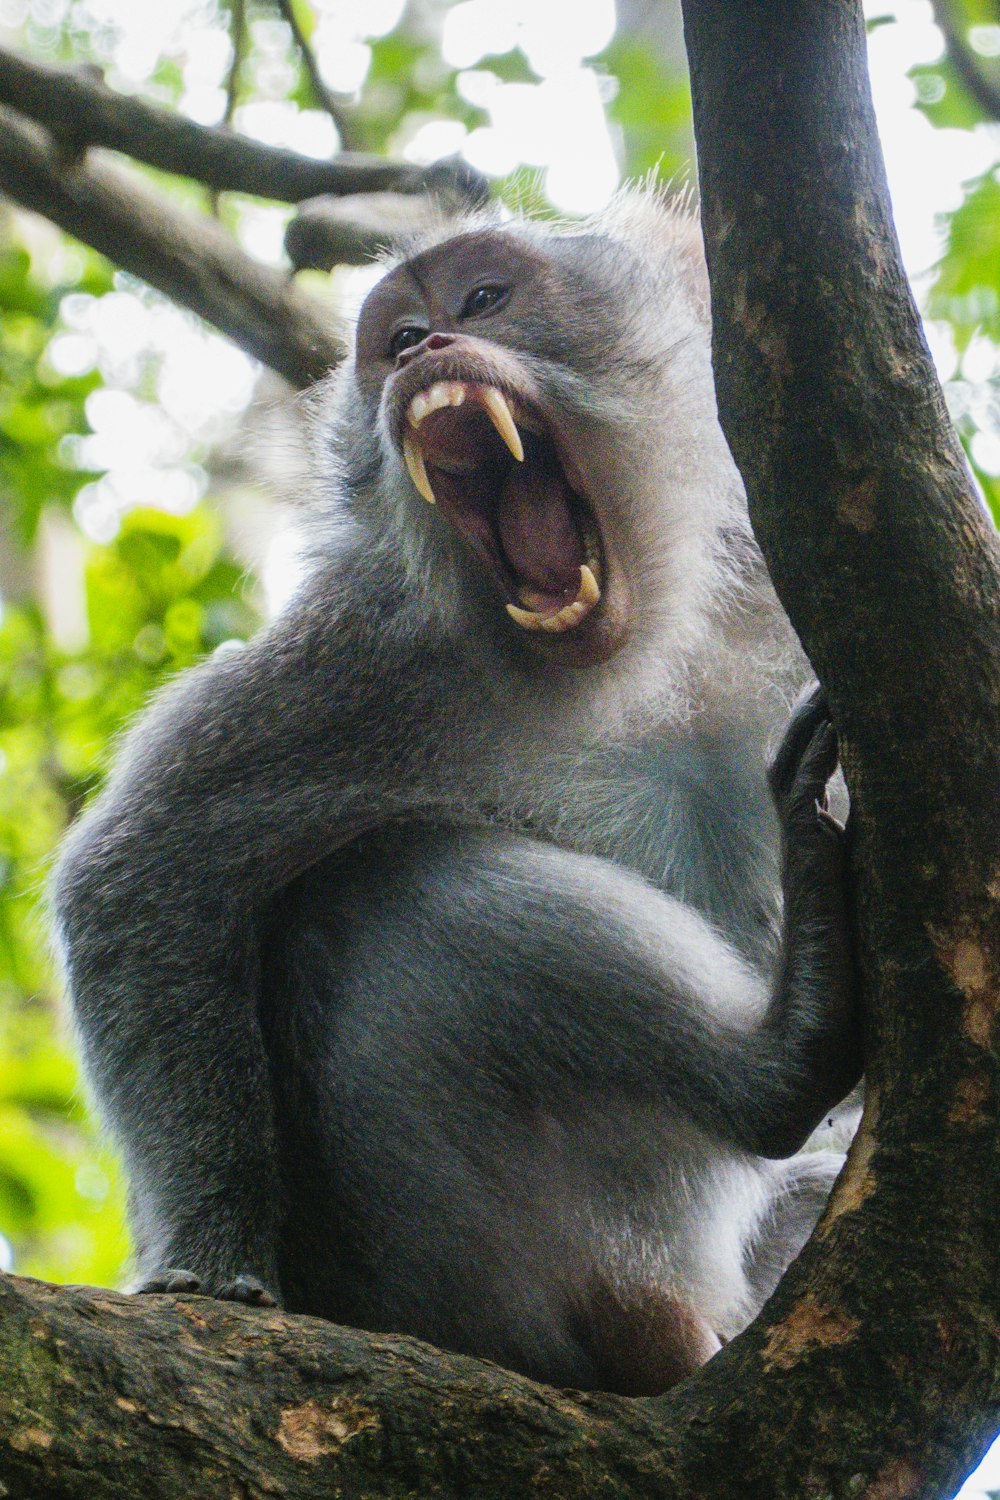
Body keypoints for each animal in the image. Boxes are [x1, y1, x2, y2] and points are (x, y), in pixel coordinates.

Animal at [54, 196, 863, 1392]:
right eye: (394, 340)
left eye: (485, 299)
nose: (423, 346)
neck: (631, 654)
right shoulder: (366, 653)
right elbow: (141, 875)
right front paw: (213, 1252)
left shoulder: (775, 595)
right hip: (492, 1241)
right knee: (407, 889)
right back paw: (781, 1057)